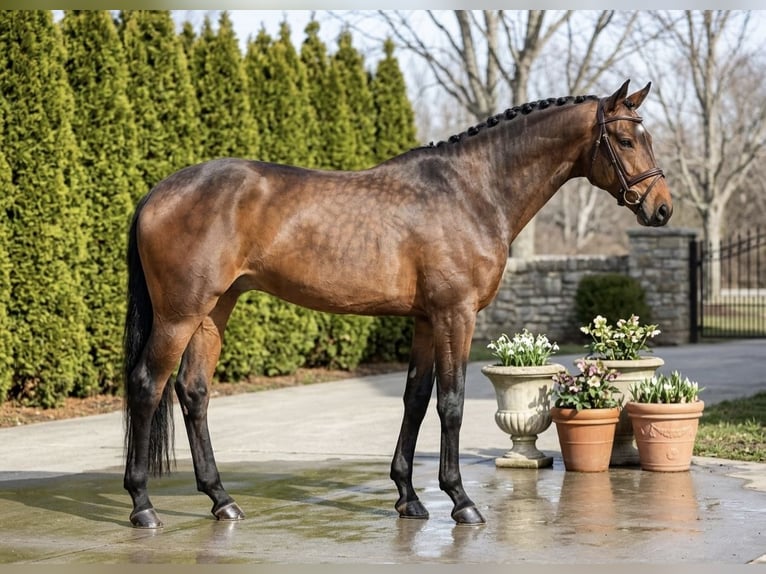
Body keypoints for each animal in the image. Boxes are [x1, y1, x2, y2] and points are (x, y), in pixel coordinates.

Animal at [122, 79, 672, 529]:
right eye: (626, 140)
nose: (661, 208)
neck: (472, 191)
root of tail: (156, 194)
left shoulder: (426, 321)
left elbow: (415, 399)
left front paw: (409, 497)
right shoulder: (455, 315)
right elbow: (450, 403)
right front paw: (461, 501)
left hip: (214, 312)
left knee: (193, 392)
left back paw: (222, 500)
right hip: (180, 314)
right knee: (148, 385)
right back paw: (143, 505)